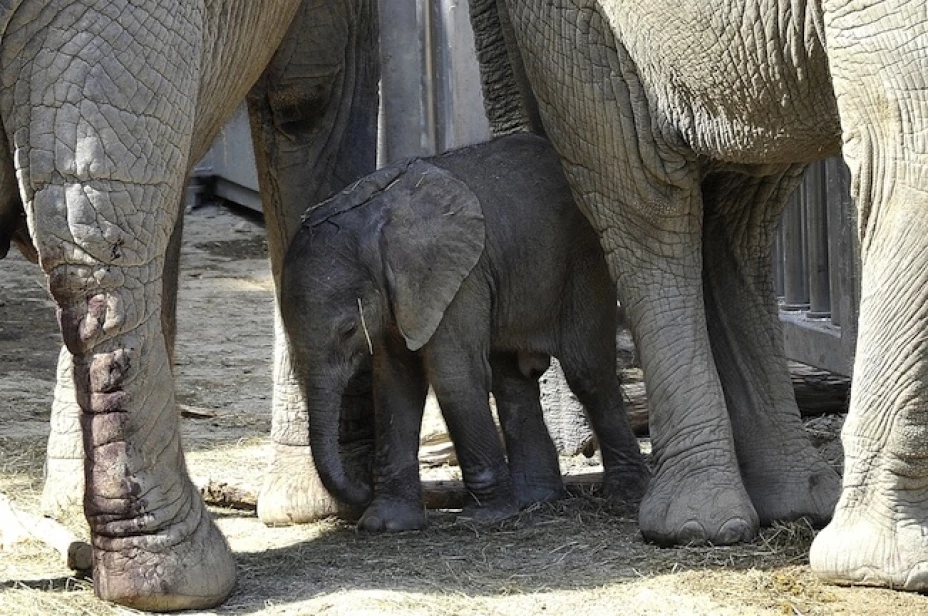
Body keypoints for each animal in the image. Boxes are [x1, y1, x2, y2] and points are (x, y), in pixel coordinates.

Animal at [280, 133, 650, 533]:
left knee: (587, 371)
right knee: (512, 380)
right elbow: (395, 383)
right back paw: (535, 499)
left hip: (584, 259)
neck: (371, 218)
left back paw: (623, 493)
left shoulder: (459, 278)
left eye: (349, 330)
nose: (360, 487)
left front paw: (484, 517)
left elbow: (453, 375)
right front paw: (385, 524)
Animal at [466, 0, 928, 591]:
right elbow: (906, 152)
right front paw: (880, 570)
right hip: (574, 26)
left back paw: (797, 502)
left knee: (741, 200)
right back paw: (700, 524)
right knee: (648, 196)